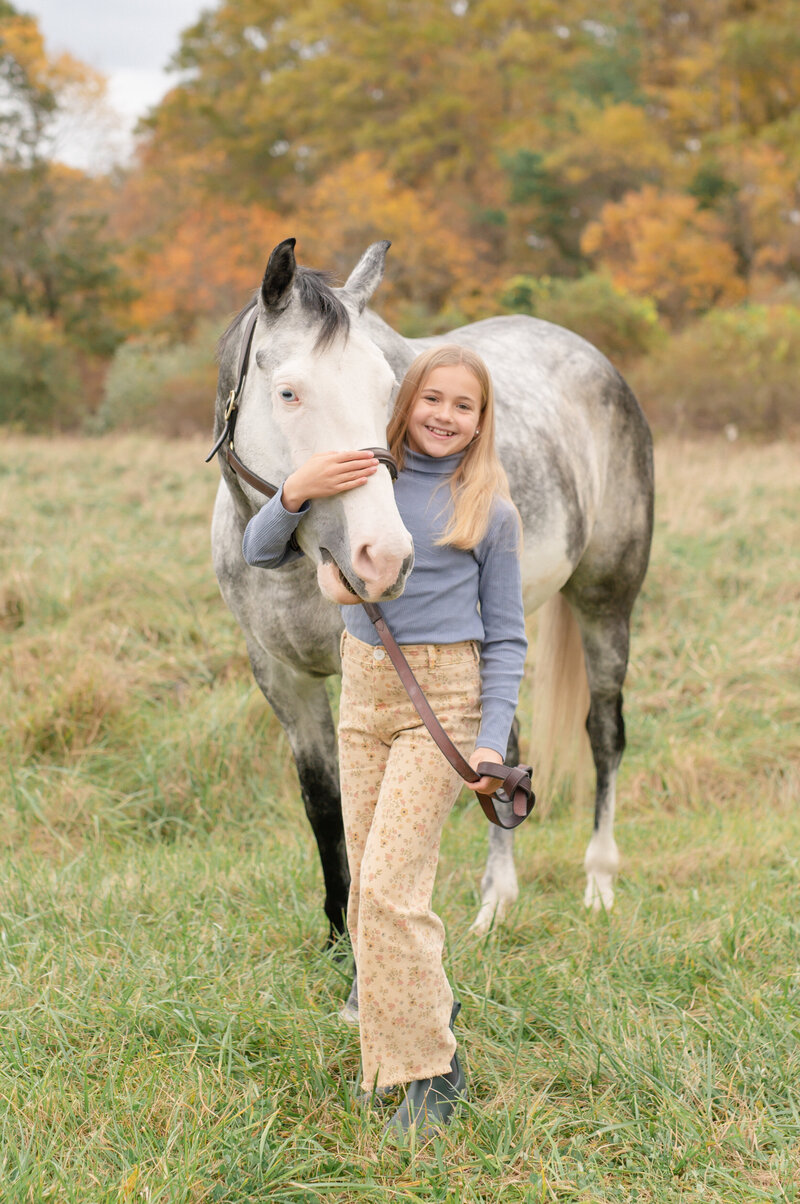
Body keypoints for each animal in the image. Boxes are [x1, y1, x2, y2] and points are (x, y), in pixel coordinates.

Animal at [209, 234, 655, 948]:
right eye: (289, 393)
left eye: (390, 391)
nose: (384, 556)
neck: (292, 567)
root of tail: (592, 358)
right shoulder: (283, 680)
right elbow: (325, 804)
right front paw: (339, 938)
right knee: (505, 750)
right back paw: (497, 901)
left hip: (606, 601)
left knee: (604, 732)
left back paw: (599, 883)